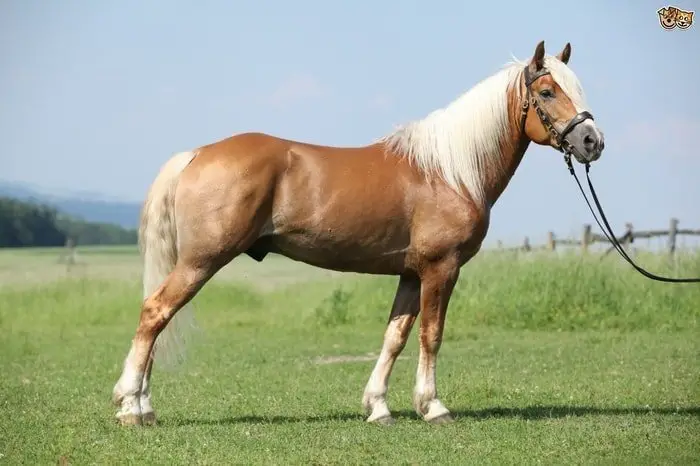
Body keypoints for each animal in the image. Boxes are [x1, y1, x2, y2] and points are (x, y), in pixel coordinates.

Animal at [112, 40, 604, 426]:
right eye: (547, 91)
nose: (592, 143)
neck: (450, 171)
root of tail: (196, 154)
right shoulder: (440, 269)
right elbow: (431, 334)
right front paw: (433, 407)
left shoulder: (410, 273)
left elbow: (395, 336)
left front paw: (378, 407)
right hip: (202, 260)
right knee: (155, 312)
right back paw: (131, 406)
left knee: (158, 317)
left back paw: (143, 405)